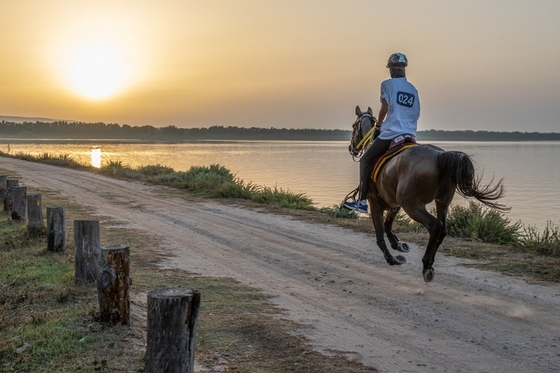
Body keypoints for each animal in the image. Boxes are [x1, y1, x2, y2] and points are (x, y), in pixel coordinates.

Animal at [348, 103, 510, 280]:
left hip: (413, 206)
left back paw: (426, 264)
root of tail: (440, 156)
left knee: (434, 226)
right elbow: (388, 224)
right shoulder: (395, 202)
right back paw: (429, 264)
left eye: (354, 126)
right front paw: (397, 244)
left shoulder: (376, 202)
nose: (351, 148)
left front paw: (391, 258)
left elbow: (379, 234)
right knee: (443, 229)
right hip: (441, 202)